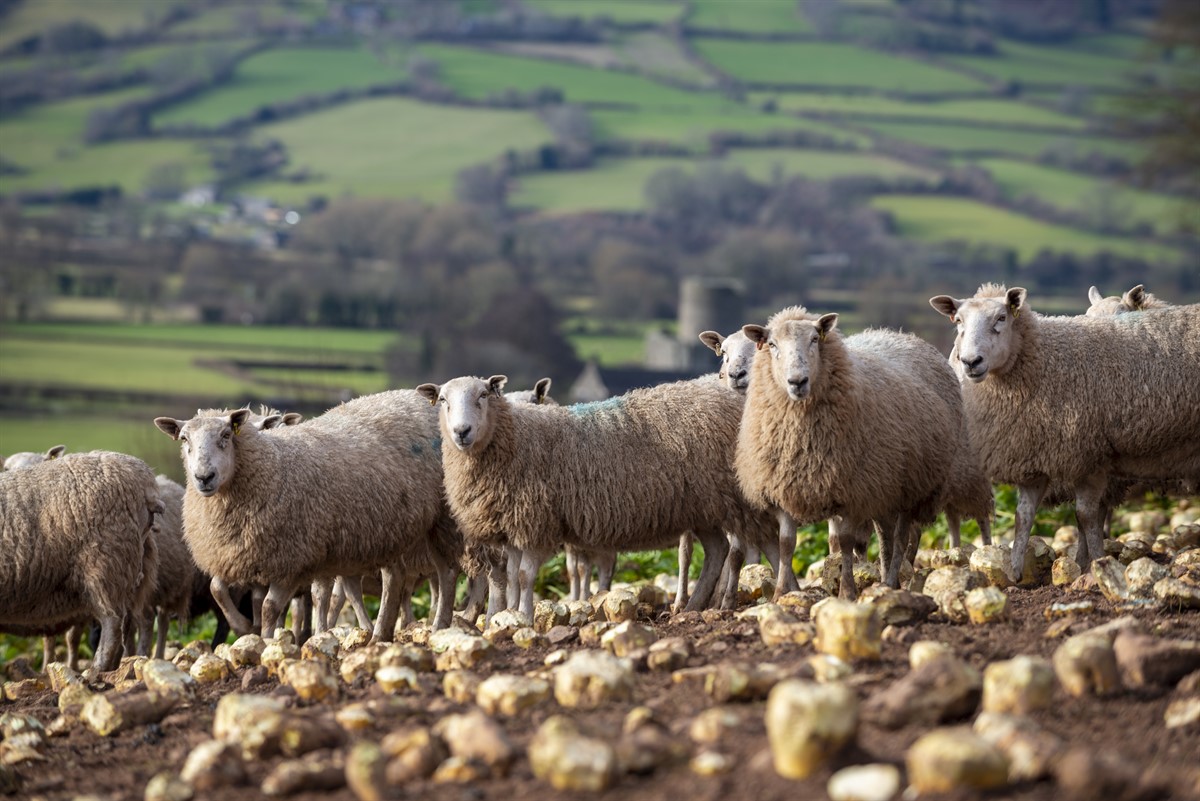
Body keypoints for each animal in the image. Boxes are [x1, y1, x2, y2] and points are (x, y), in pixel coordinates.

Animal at [0, 451, 162, 672]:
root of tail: (144, 478)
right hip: (132, 570)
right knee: (126, 624)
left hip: (104, 563)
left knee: (112, 622)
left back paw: (96, 670)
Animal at [154, 390, 459, 641]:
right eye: (184, 439)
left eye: (226, 436)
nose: (204, 477)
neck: (272, 463)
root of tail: (415, 396)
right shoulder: (241, 556)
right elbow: (219, 589)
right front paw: (245, 628)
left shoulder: (292, 558)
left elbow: (270, 607)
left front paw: (267, 640)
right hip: (386, 529)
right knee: (394, 578)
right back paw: (379, 635)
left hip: (442, 518)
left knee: (446, 573)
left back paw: (438, 624)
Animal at [417, 374, 750, 620]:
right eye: (443, 400)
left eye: (484, 395)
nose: (462, 431)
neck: (515, 439)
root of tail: (726, 395)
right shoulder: (513, 526)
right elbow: (511, 577)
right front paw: (507, 615)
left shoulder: (537, 522)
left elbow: (524, 577)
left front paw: (524, 617)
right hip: (704, 507)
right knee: (717, 550)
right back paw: (693, 606)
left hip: (722, 498)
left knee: (729, 550)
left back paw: (715, 604)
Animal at [735, 306, 964, 598]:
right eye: (772, 344)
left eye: (815, 339)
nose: (797, 381)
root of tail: (900, 334)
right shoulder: (784, 488)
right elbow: (787, 544)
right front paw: (780, 594)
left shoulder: (852, 490)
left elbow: (845, 542)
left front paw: (847, 591)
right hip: (884, 488)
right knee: (886, 536)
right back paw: (886, 578)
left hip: (910, 487)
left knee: (901, 537)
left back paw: (890, 581)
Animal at [930, 284, 1200, 574]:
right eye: (958, 321)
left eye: (1001, 318)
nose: (970, 361)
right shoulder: (1038, 455)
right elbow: (1024, 516)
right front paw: (1015, 571)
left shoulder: (1087, 456)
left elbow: (1086, 515)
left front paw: (1094, 561)